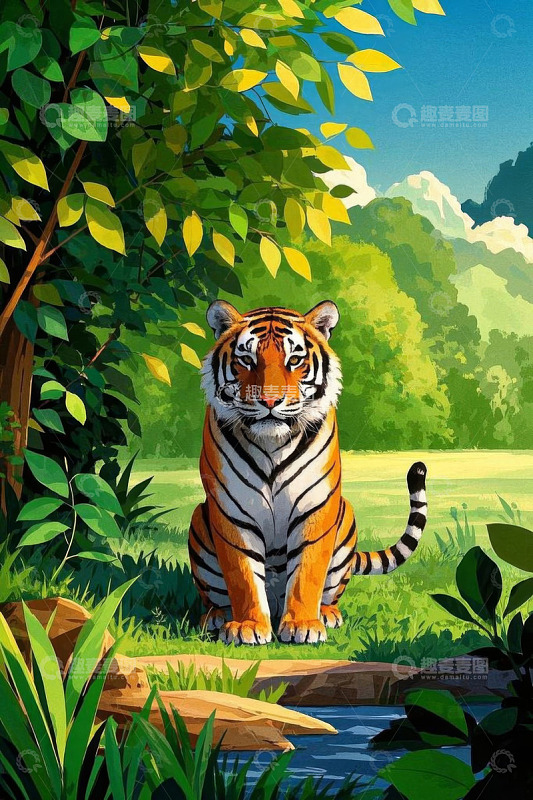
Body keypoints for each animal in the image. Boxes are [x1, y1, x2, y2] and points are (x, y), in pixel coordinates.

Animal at [188, 300, 428, 645]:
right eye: (246, 359)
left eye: (295, 360)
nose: (270, 400)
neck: (272, 444)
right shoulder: (233, 510)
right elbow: (242, 574)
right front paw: (247, 626)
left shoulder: (315, 505)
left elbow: (307, 573)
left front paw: (303, 625)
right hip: (199, 520)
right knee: (215, 596)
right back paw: (219, 617)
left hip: (346, 518)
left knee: (330, 591)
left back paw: (326, 614)